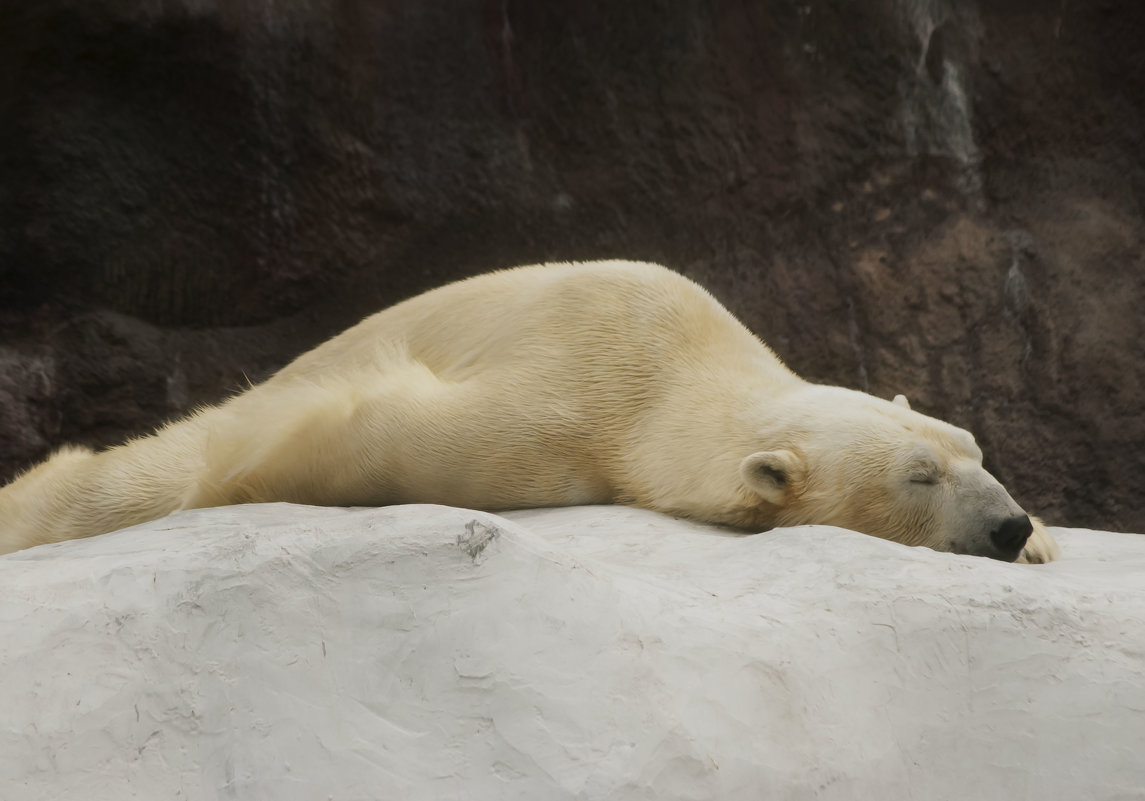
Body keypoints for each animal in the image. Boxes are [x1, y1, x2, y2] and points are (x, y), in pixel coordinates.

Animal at [0, 259, 1053, 560]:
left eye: (972, 446)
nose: (1005, 525)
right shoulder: (562, 406)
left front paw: (1046, 537)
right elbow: (325, 432)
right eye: (918, 477)